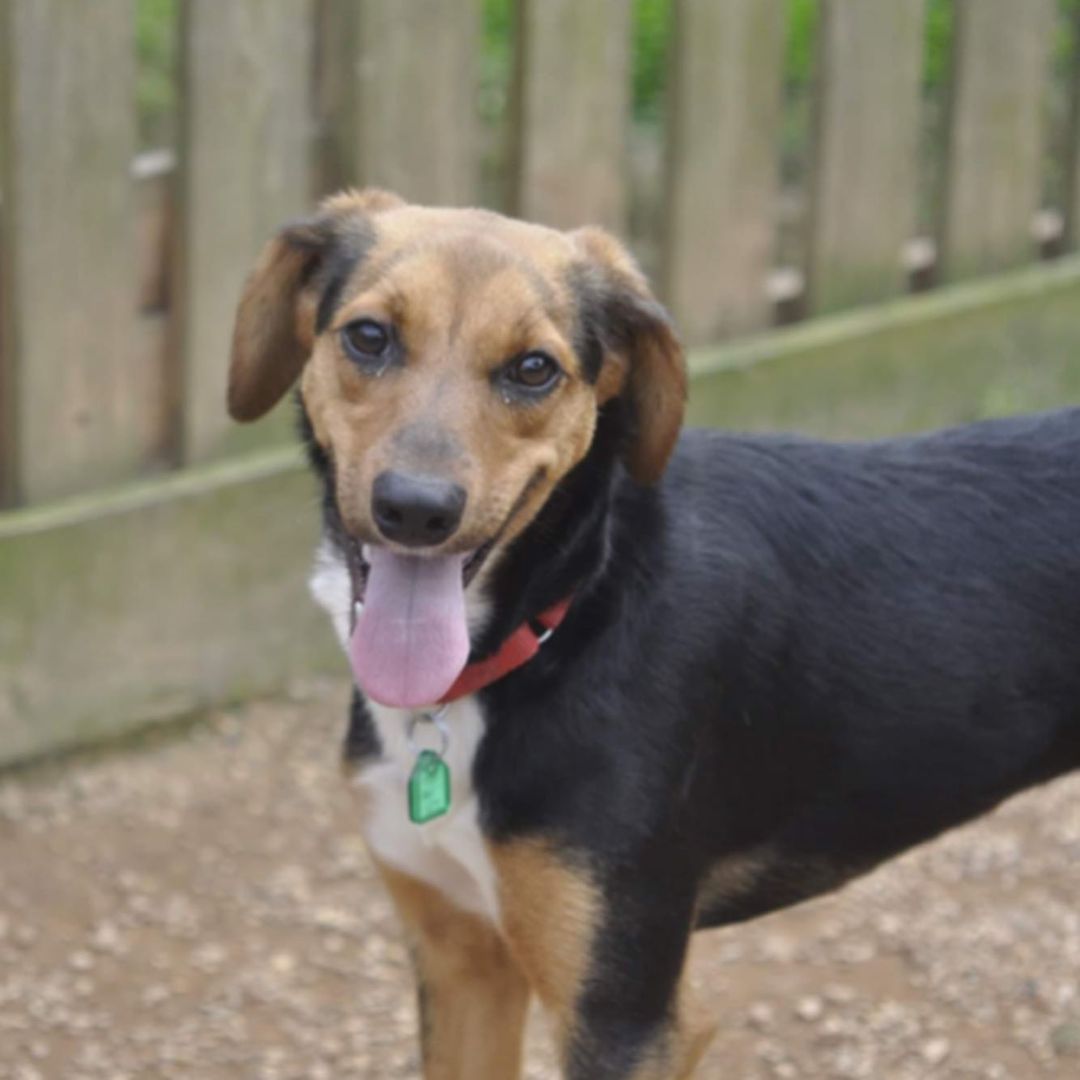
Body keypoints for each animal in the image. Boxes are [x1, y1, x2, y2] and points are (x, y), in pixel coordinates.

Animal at [227, 185, 1080, 1080]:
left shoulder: (623, 1012)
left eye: (534, 368)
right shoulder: (462, 956)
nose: (417, 510)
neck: (565, 615)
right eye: (368, 336)